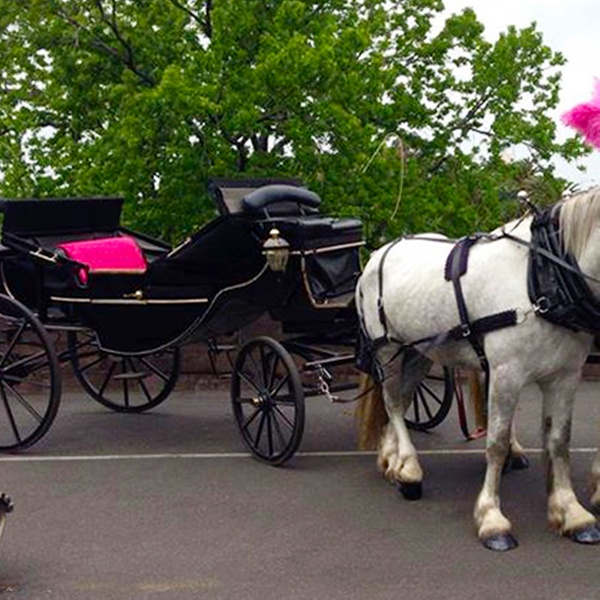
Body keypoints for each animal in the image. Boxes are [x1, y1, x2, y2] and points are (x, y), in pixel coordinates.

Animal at [354, 189, 600, 552]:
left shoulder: (565, 376)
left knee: (402, 399)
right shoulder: (506, 374)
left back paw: (392, 460)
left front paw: (572, 513)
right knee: (394, 404)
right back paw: (409, 469)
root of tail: (377, 254)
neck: (541, 277)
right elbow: (495, 444)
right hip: (387, 350)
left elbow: (558, 441)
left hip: (419, 352)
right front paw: (492, 519)